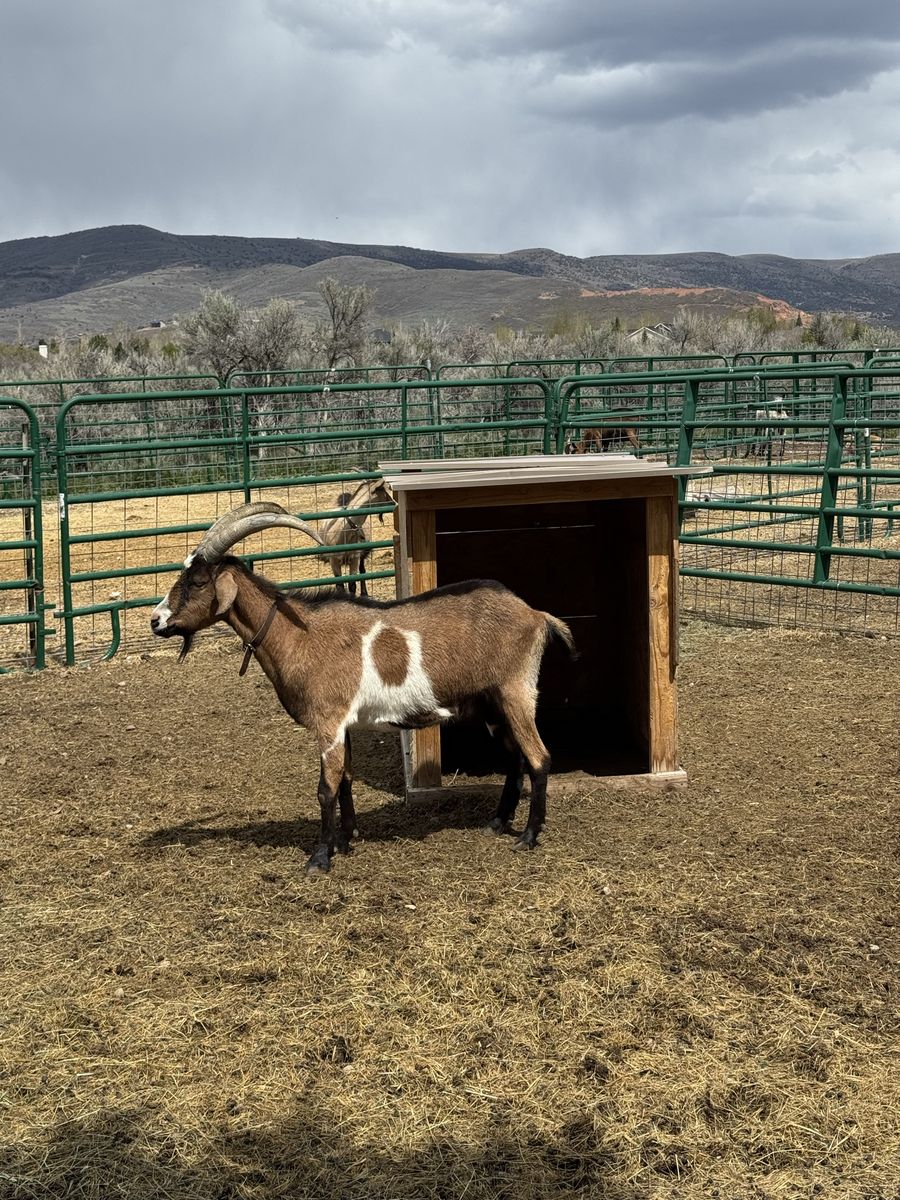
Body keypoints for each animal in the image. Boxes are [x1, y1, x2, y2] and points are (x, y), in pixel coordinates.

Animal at [150, 501, 574, 877]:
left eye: (197, 581)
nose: (156, 621)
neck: (299, 636)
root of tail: (536, 614)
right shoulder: (345, 725)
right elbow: (346, 780)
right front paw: (346, 839)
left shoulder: (328, 722)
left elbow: (325, 788)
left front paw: (320, 858)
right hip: (490, 703)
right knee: (515, 756)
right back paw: (498, 822)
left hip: (516, 690)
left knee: (539, 758)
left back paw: (528, 836)